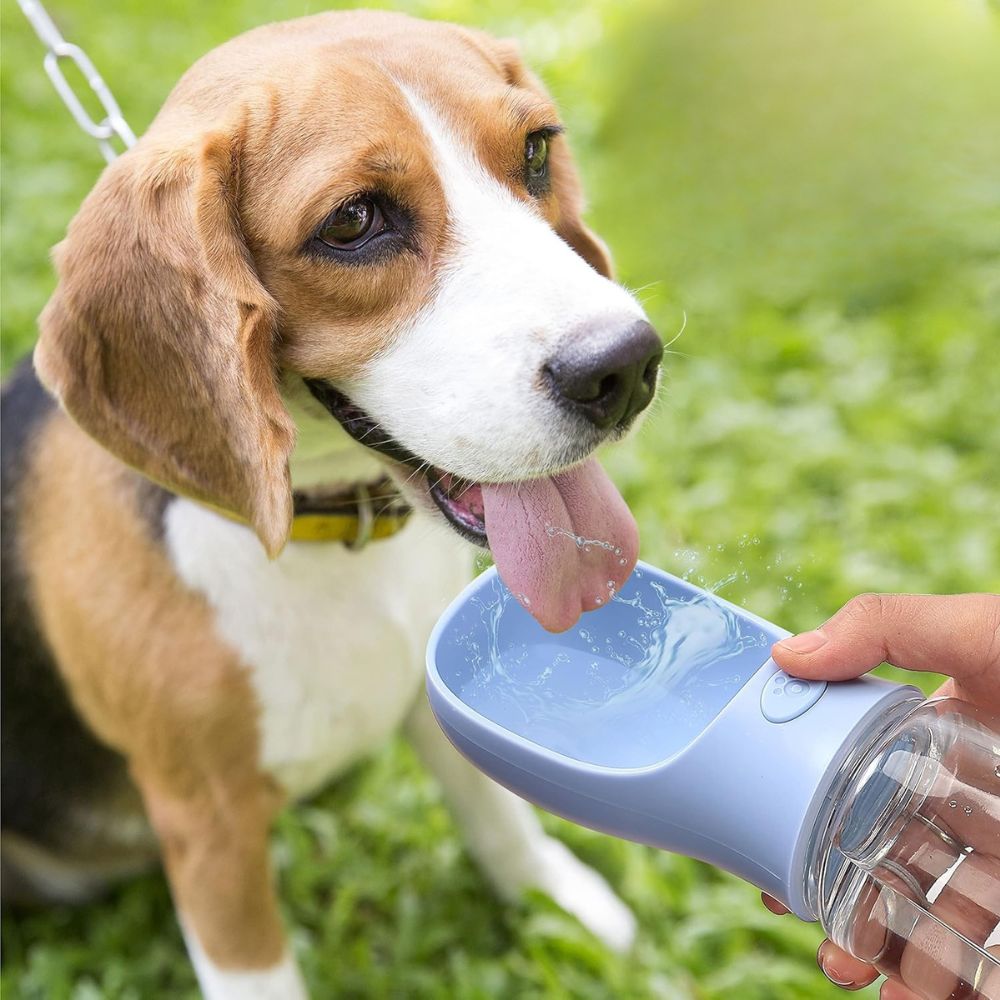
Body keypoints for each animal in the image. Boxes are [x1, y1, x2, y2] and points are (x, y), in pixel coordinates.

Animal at [1, 9, 664, 1000]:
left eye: (537, 152)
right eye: (353, 221)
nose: (624, 366)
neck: (330, 528)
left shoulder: (437, 686)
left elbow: (498, 813)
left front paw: (560, 904)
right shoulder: (208, 828)